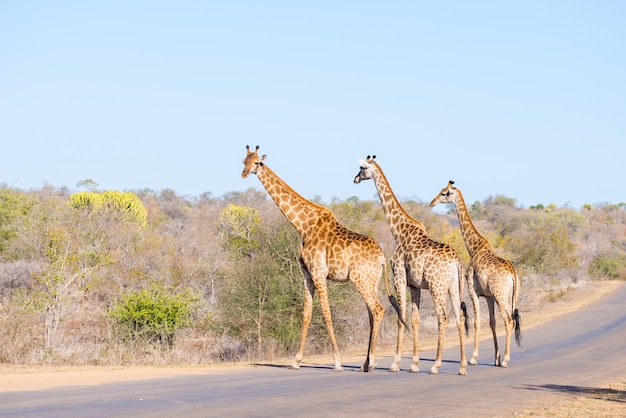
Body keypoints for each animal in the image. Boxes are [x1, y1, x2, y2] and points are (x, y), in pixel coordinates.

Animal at [241, 146, 388, 372]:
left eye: (257, 162)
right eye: (244, 161)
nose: (244, 173)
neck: (303, 226)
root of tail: (382, 257)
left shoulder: (319, 272)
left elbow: (326, 313)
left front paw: (337, 361)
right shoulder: (306, 274)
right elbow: (306, 314)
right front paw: (296, 361)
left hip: (360, 279)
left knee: (378, 309)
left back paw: (371, 363)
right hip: (372, 281)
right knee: (372, 312)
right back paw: (365, 363)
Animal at [354, 154, 466, 376]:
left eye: (362, 169)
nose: (354, 179)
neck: (398, 231)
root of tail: (457, 262)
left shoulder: (399, 276)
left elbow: (400, 316)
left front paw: (395, 364)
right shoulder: (415, 284)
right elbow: (414, 320)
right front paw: (413, 364)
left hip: (437, 287)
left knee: (443, 318)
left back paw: (436, 365)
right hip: (453, 286)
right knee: (460, 318)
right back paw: (463, 366)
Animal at [428, 181, 520, 368]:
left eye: (444, 193)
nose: (432, 202)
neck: (473, 247)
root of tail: (513, 274)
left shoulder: (473, 290)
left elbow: (478, 322)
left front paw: (474, 358)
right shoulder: (489, 295)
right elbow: (491, 322)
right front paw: (496, 358)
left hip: (501, 296)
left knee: (509, 320)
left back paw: (506, 360)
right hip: (509, 296)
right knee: (510, 320)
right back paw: (503, 359)